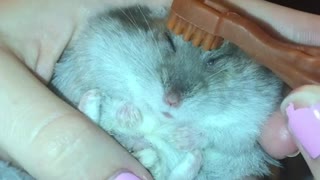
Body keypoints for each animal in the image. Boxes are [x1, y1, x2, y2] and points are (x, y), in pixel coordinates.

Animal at [50, 4, 282, 180]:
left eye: (214, 61)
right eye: (170, 42)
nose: (171, 101)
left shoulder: (251, 121)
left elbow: (222, 135)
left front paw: (180, 137)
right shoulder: (97, 52)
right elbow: (117, 96)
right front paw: (131, 115)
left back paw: (184, 157)